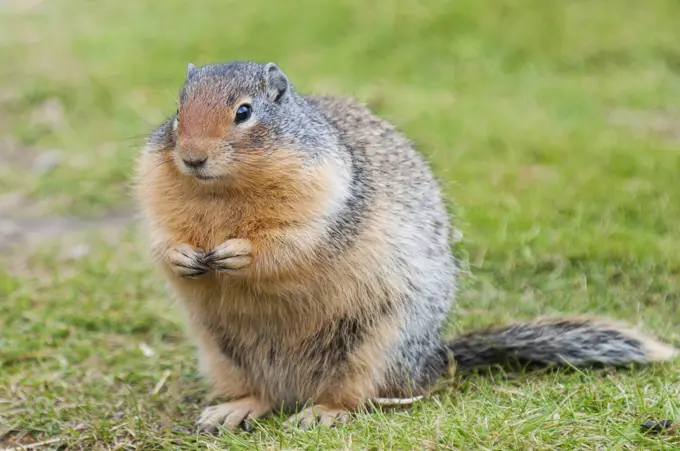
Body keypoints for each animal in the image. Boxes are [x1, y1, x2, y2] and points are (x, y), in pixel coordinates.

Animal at [134, 61, 680, 432]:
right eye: (177, 112)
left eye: (243, 112)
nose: (191, 157)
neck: (221, 192)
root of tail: (433, 359)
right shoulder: (155, 193)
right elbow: (161, 238)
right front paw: (183, 256)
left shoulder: (325, 199)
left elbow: (290, 242)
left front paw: (237, 253)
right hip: (222, 354)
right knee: (263, 394)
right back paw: (232, 410)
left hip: (375, 346)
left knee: (355, 397)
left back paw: (321, 414)